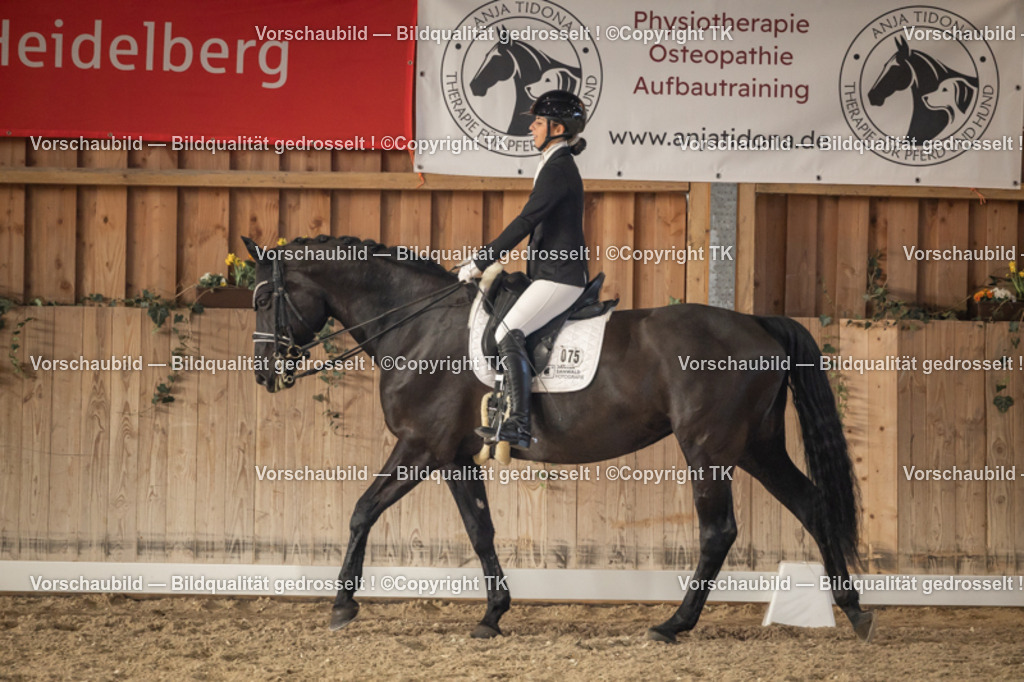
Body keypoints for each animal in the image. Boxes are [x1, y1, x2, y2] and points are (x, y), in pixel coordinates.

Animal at [242, 234, 876, 644]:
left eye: (265, 299)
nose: (265, 375)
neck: (418, 326)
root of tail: (758, 323)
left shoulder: (420, 448)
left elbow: (361, 510)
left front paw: (341, 604)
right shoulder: (455, 457)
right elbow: (479, 529)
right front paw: (493, 615)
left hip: (709, 449)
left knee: (719, 530)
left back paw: (674, 625)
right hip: (755, 446)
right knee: (812, 504)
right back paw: (853, 610)